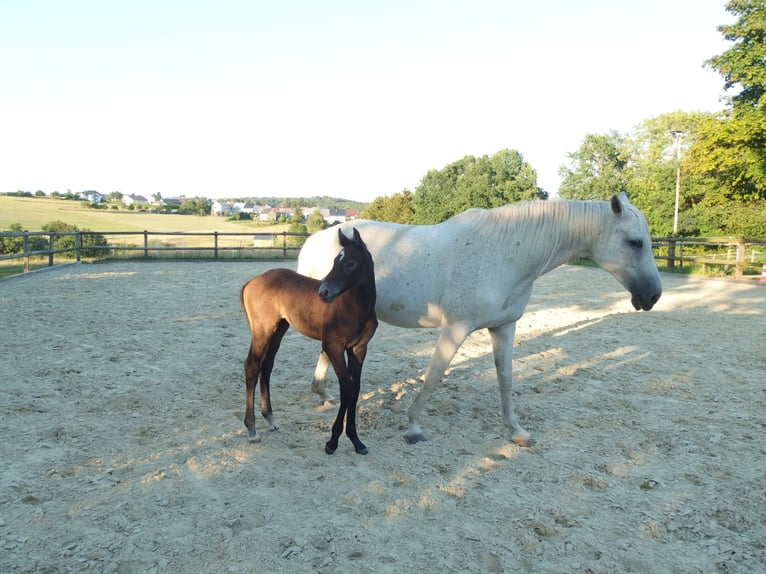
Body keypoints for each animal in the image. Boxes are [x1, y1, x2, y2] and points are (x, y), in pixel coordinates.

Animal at [296, 196, 664, 448]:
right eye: (635, 242)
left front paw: (516, 431)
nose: (653, 295)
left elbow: (505, 379)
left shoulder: (504, 326)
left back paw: (323, 393)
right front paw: (413, 426)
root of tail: (315, 239)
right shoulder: (456, 328)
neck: (503, 253)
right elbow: (434, 375)